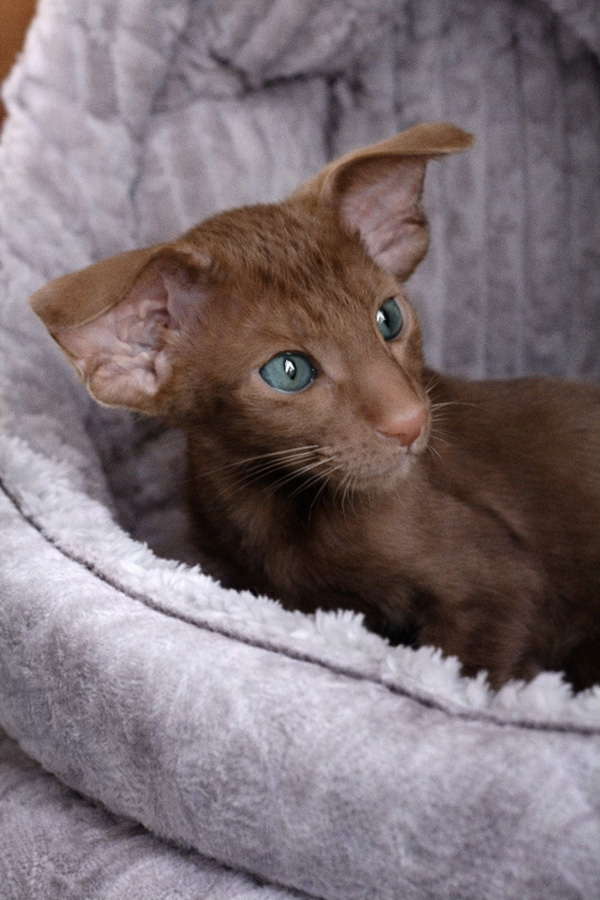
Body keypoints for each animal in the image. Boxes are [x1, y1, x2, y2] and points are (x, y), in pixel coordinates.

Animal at [30, 122, 600, 690]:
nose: (410, 422)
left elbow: (461, 670)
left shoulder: (498, 587)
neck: (272, 509)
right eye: (290, 371)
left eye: (389, 318)